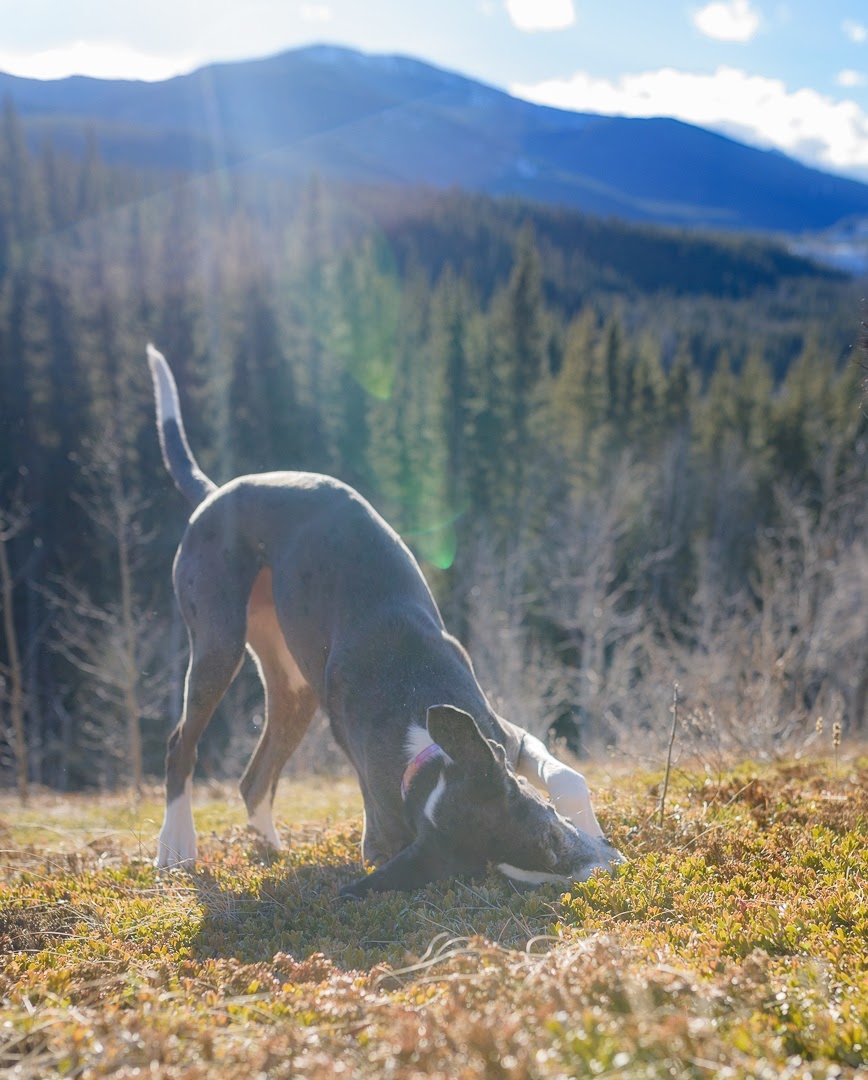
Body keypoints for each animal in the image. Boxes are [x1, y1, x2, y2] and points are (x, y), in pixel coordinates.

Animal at [148, 345, 621, 894]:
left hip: (294, 684)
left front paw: (591, 823)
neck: (425, 746)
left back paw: (270, 850)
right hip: (219, 640)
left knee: (253, 777)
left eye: (548, 833)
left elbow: (569, 779)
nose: (608, 872)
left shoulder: (504, 737)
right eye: (511, 880)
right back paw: (176, 847)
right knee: (180, 745)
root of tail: (214, 492)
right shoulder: (385, 828)